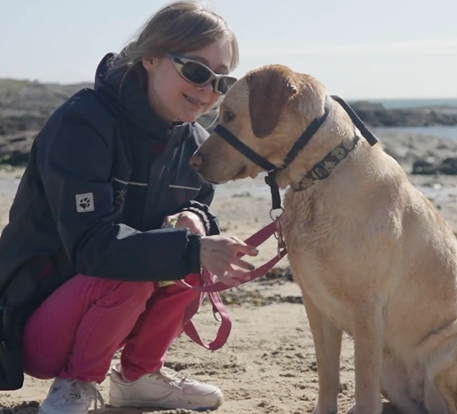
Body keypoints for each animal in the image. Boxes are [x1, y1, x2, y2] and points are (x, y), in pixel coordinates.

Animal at [190, 63, 457, 412]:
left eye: (231, 114)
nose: (193, 162)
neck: (318, 177)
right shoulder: (316, 304)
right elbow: (328, 373)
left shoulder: (366, 308)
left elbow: (363, 384)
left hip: (445, 352)